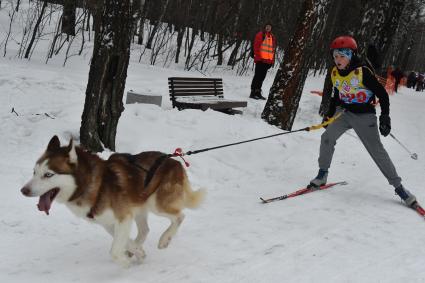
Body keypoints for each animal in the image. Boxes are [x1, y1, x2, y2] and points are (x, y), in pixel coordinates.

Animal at [21, 136, 205, 268]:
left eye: (48, 174)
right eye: (34, 172)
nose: (23, 190)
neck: (96, 184)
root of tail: (175, 160)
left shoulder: (124, 217)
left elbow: (114, 251)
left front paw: (125, 262)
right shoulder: (109, 222)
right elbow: (125, 242)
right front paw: (137, 251)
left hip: (156, 203)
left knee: (180, 216)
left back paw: (165, 239)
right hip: (140, 204)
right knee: (145, 230)